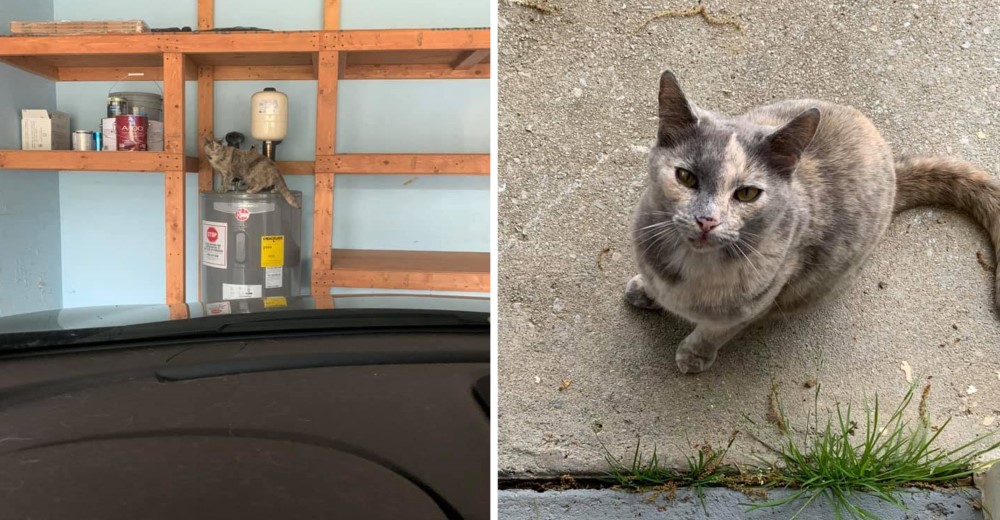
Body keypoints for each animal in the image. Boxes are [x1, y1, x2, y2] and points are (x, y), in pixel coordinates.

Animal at [624, 71, 1000, 376]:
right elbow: (654, 281)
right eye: (686, 177)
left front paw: (695, 354)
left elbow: (714, 330)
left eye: (746, 193)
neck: (691, 267)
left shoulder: (756, 301)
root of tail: (893, 167)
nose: (707, 220)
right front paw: (645, 289)